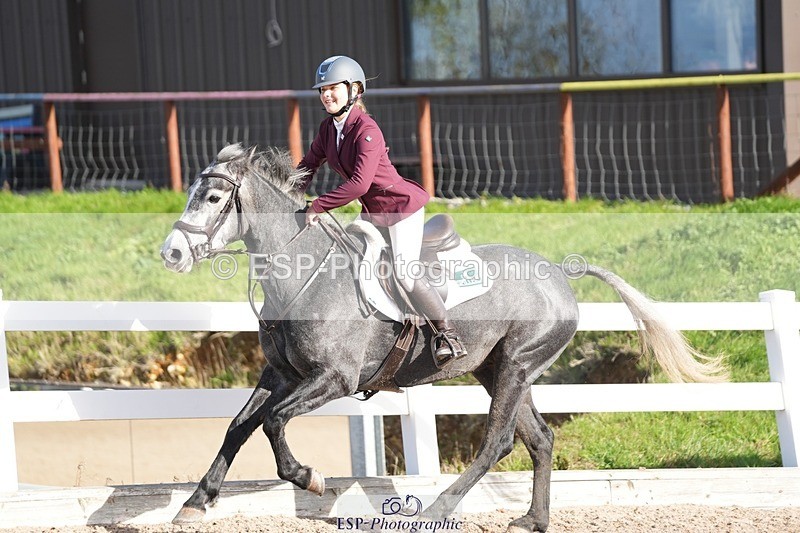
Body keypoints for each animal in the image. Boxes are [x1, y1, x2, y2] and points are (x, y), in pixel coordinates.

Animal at [160, 143, 726, 532]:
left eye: (213, 197)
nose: (172, 254)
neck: (301, 274)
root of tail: (560, 272)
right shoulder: (280, 374)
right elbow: (239, 426)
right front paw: (196, 502)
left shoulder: (334, 379)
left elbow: (274, 422)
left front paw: (309, 477)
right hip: (500, 370)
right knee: (539, 438)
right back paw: (532, 519)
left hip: (517, 364)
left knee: (498, 442)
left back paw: (437, 507)